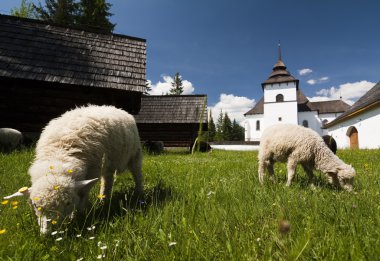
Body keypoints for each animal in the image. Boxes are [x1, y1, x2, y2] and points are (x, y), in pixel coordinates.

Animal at [4, 104, 144, 233]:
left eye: (67, 203)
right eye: (35, 205)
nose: (48, 233)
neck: (59, 155)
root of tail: (113, 107)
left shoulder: (91, 173)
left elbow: (82, 196)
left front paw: (78, 215)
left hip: (135, 154)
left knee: (137, 175)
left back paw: (139, 194)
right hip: (108, 164)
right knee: (107, 181)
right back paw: (103, 199)